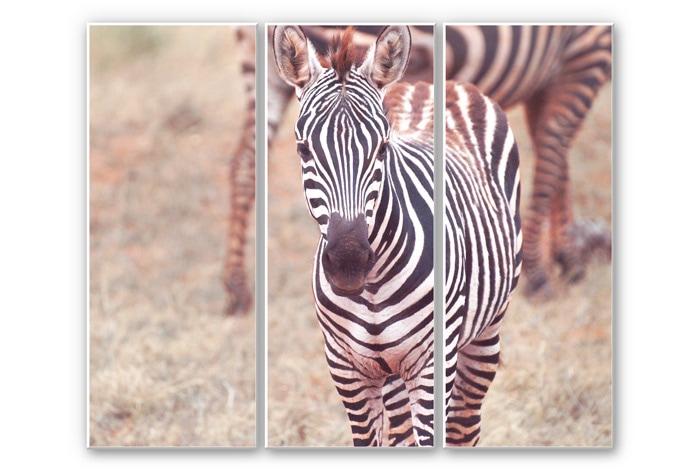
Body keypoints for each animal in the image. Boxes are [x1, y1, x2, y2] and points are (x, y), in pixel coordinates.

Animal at [223, 24, 610, 314]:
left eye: (383, 148)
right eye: (304, 149)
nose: (348, 261)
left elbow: (555, 158)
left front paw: (566, 253)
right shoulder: (588, 53)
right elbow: (553, 150)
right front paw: (545, 268)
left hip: (264, 69)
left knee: (244, 165)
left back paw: (237, 289)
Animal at [273, 25, 521, 447]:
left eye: (383, 148)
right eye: (304, 151)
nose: (349, 262)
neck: (372, 287)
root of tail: (435, 83)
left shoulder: (433, 363)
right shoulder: (346, 367)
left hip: (486, 329)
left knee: (465, 425)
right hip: (391, 372)